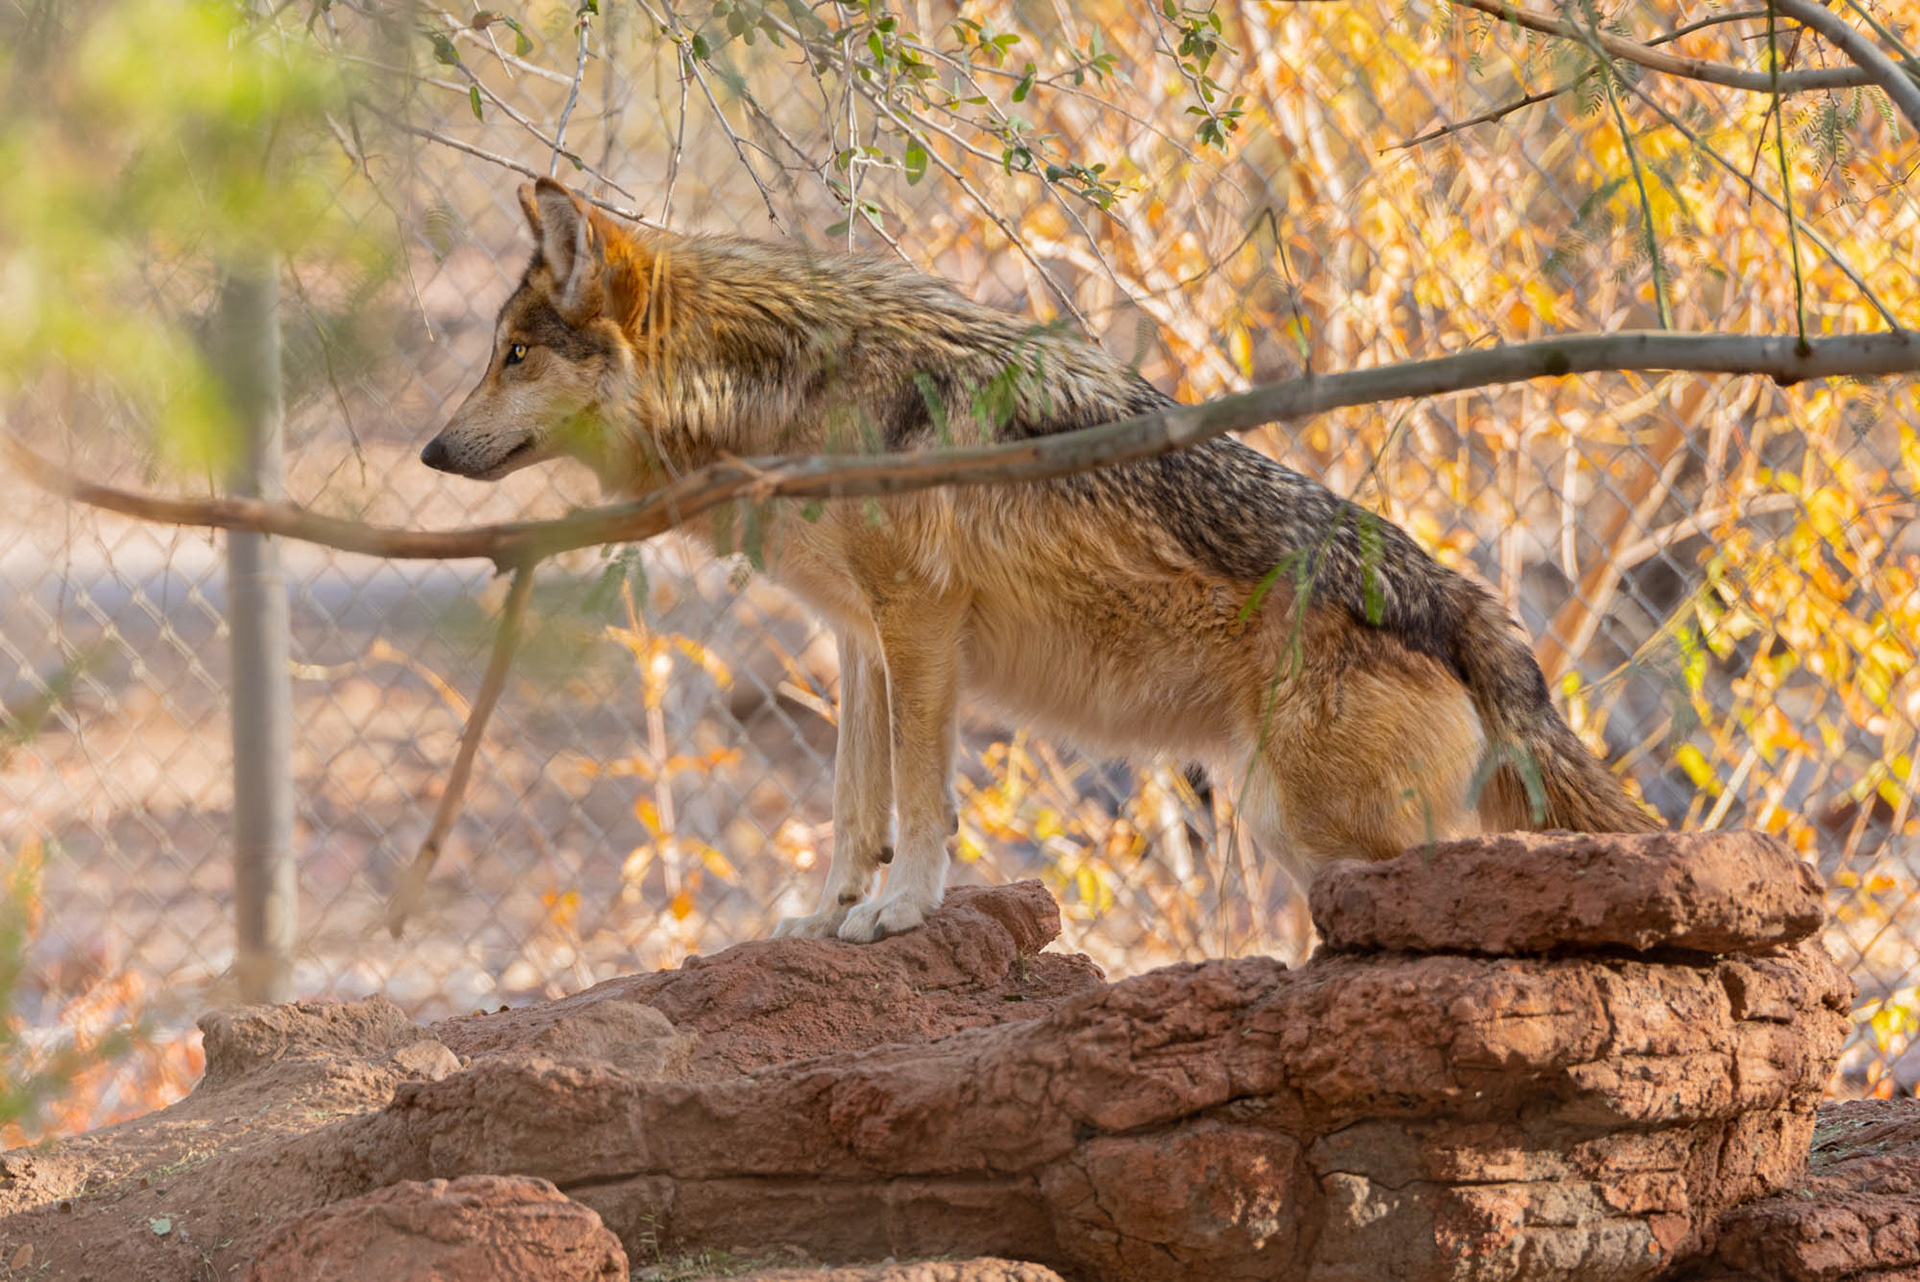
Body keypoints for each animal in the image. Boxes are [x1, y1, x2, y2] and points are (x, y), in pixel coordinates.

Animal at [421, 177, 1662, 943]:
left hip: (1308, 826)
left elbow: (920, 798)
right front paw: (830, 913)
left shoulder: (918, 624)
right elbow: (853, 803)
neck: (781, 392)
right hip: (1297, 828)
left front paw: (902, 911)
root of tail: (1461, 598)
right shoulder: (858, 637)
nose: (428, 452)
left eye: (514, 354)